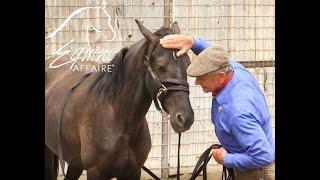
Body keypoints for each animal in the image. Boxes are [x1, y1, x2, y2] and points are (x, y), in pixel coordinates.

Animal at [45, 20, 194, 179]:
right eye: (160, 66)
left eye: (188, 64)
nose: (185, 118)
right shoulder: (95, 172)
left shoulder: (133, 171)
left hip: (75, 162)